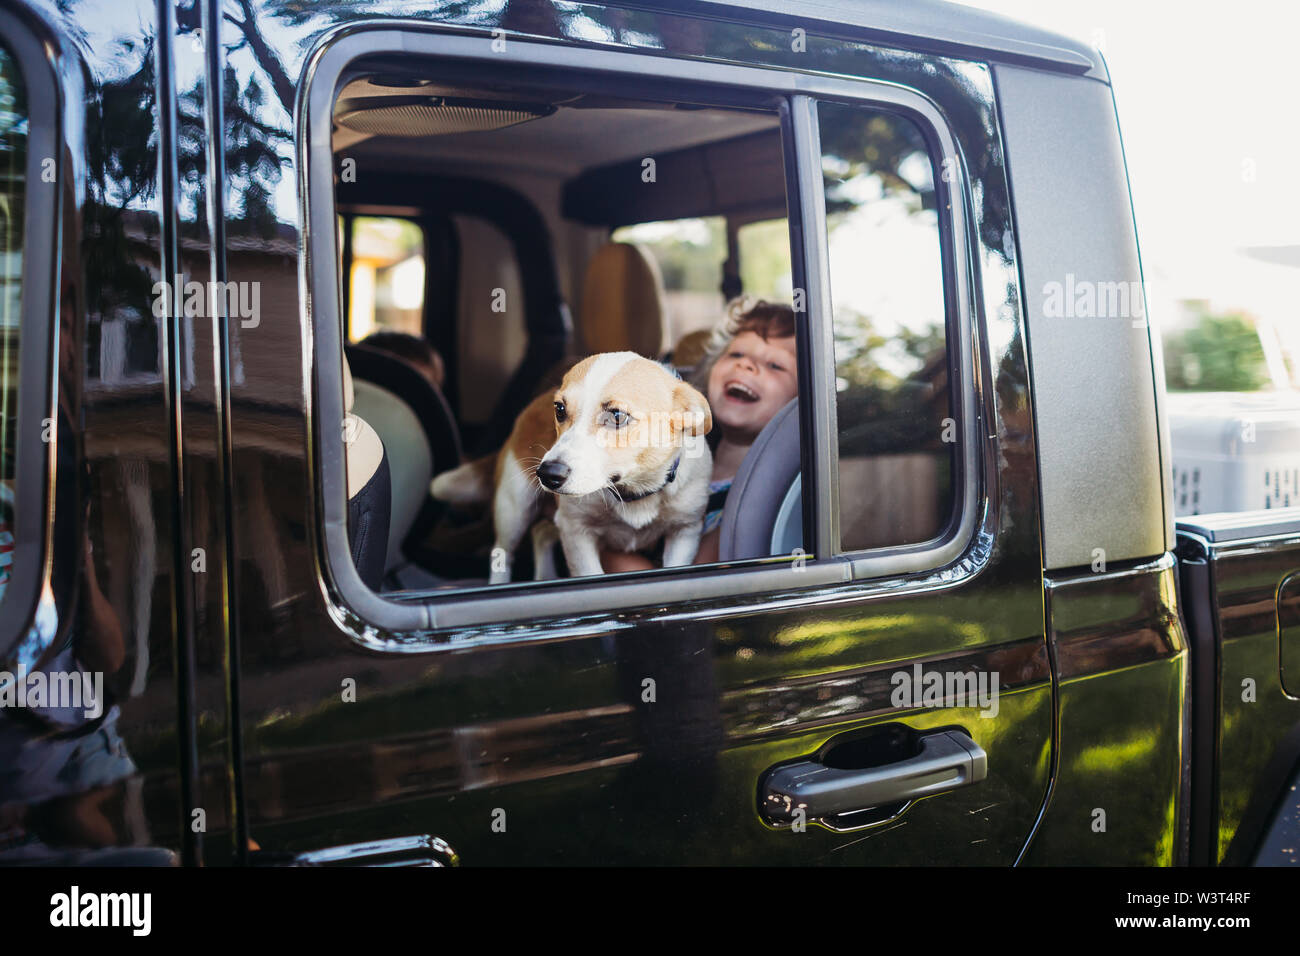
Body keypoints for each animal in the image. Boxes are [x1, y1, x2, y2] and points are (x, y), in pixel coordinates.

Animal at [431, 353, 712, 582]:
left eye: (617, 416)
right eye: (560, 409)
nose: (547, 474)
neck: (633, 492)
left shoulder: (684, 533)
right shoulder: (576, 531)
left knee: (541, 532)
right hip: (514, 509)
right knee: (503, 555)